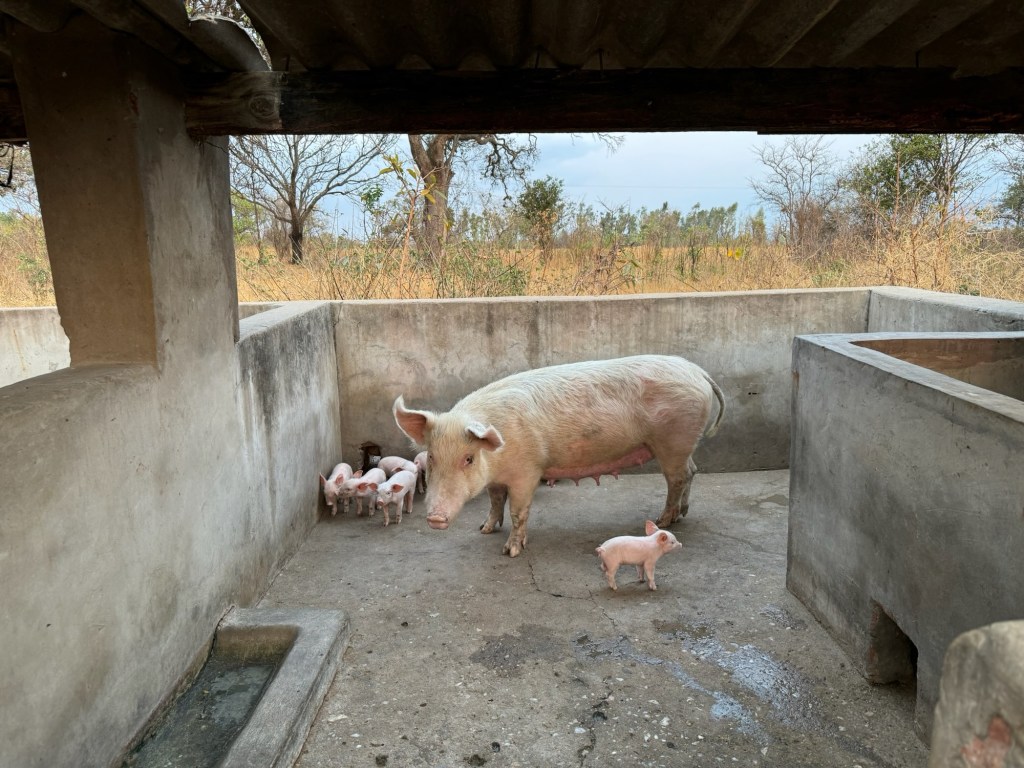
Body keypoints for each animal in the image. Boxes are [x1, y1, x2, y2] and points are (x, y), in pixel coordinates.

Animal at [393, 354, 724, 558]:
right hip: (682, 444)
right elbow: (495, 501)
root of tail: (698, 372)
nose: (435, 518)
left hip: (672, 440)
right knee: (692, 471)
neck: (498, 456)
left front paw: (511, 551)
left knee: (677, 478)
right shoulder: (496, 479)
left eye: (468, 459)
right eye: (432, 457)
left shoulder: (527, 471)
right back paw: (681, 515)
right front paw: (485, 529)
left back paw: (663, 518)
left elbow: (519, 511)